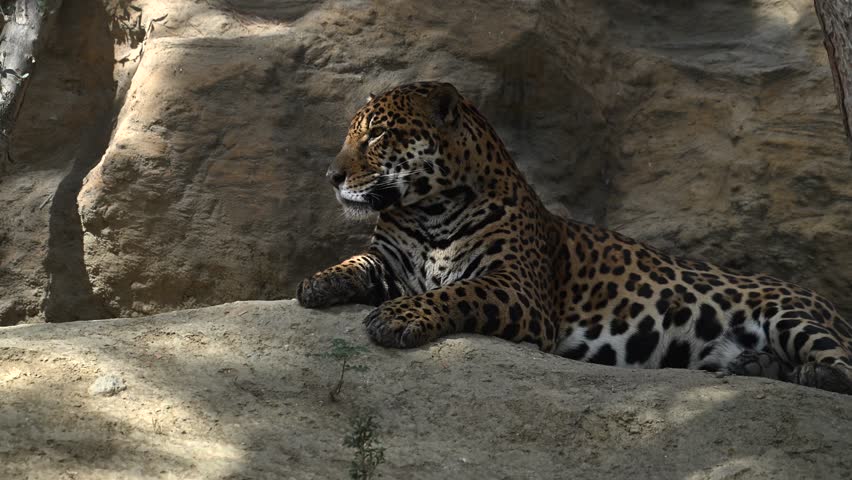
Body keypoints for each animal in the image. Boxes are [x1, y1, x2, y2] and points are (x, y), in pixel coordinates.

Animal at [297, 81, 852, 395]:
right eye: (353, 134)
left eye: (376, 135)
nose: (331, 176)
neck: (428, 209)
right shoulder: (389, 261)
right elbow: (355, 263)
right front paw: (317, 283)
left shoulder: (517, 289)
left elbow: (457, 292)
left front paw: (397, 317)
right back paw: (755, 364)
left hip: (793, 314)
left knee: (844, 368)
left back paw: (806, 374)